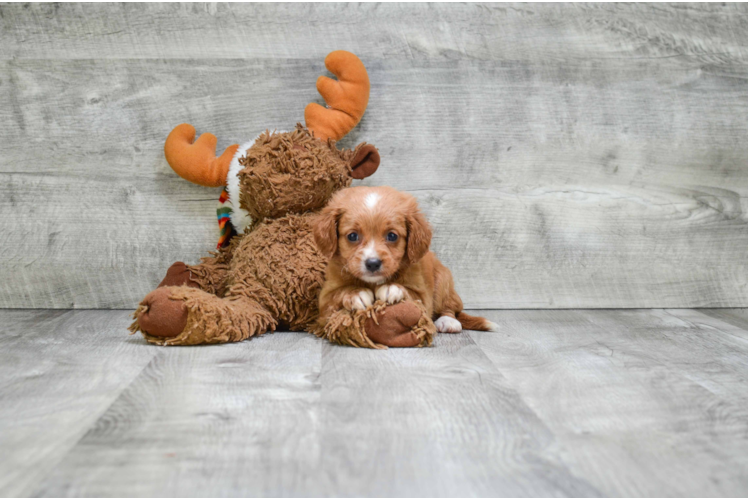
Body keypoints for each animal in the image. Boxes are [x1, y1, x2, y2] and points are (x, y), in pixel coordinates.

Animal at [312, 186, 496, 334]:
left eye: (392, 236)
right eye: (352, 236)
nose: (372, 263)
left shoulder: (423, 297)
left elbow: (410, 292)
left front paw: (391, 288)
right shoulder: (325, 299)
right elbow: (339, 293)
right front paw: (356, 293)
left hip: (443, 281)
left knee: (450, 308)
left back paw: (448, 322)